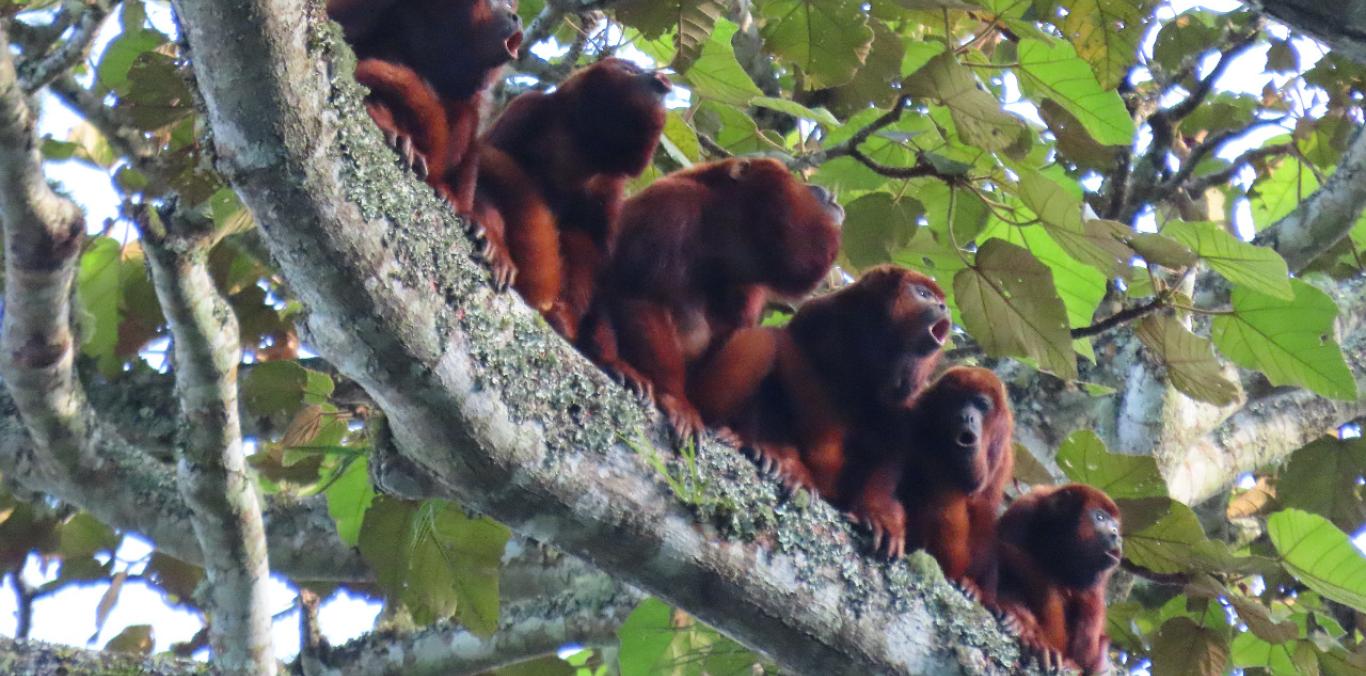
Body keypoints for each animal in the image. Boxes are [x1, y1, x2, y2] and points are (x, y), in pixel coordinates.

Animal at [475, 57, 672, 337]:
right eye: (629, 69)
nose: (658, 77)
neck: (578, 150)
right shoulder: (528, 109)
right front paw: (494, 241)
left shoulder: (608, 185)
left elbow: (593, 247)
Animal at [584, 159, 841, 445]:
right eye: (795, 181)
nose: (823, 190)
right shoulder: (671, 205)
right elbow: (640, 297)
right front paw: (676, 400)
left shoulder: (752, 286)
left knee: (761, 340)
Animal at [683, 264, 950, 491]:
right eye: (924, 294)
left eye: (939, 300)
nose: (944, 307)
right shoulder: (819, 315)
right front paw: (782, 458)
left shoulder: (909, 383)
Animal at [994, 483, 1120, 674]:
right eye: (1100, 517)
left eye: (1115, 525)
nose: (1116, 534)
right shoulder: (1024, 509)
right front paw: (1020, 621)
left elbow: (1090, 603)